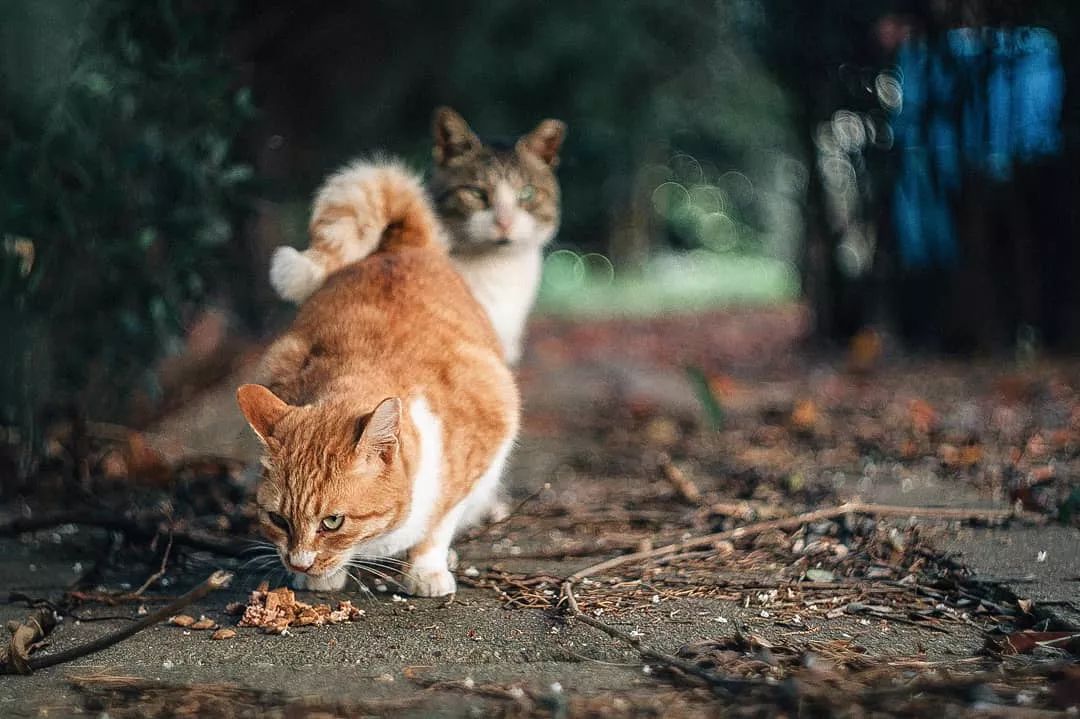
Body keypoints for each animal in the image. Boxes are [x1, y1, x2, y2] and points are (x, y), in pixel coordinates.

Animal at [237, 159, 522, 595]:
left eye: (332, 522)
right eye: (278, 520)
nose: (298, 563)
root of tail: (399, 245)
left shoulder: (485, 433)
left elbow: (438, 525)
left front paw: (426, 570)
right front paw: (322, 577)